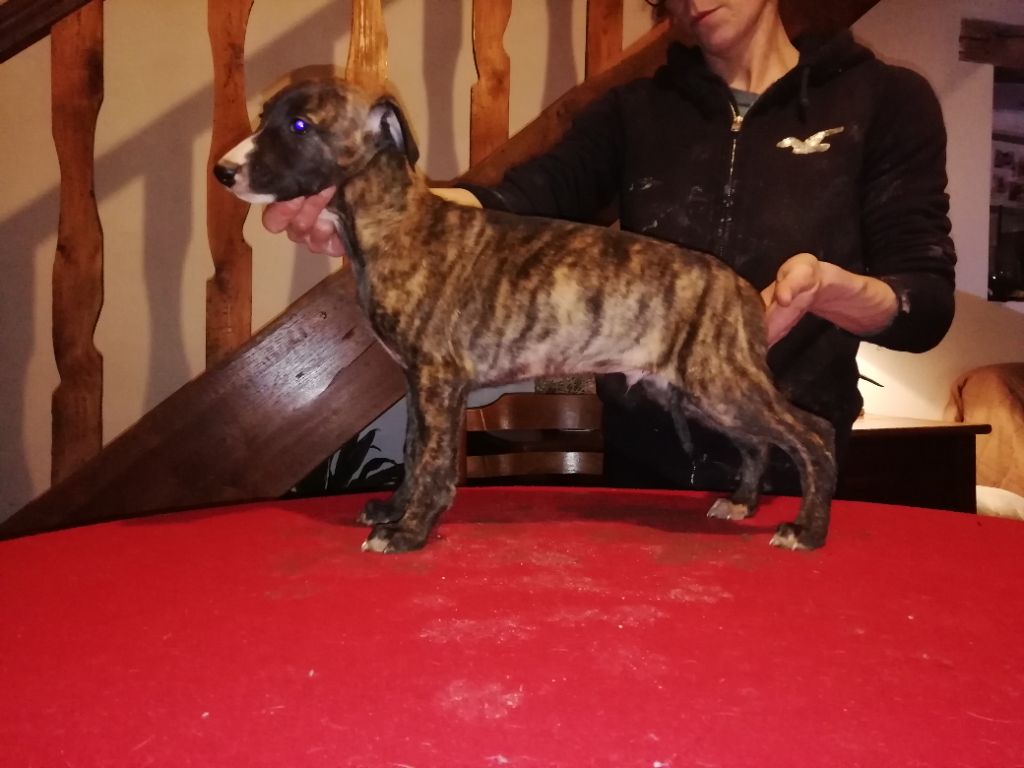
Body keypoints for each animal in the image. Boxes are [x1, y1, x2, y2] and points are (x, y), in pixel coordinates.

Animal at [214, 77, 837, 554]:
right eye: (266, 117)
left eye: (300, 126)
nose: (222, 172)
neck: (395, 221)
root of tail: (738, 286)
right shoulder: (420, 385)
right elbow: (414, 453)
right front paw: (393, 511)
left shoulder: (439, 382)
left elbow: (433, 463)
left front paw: (410, 532)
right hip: (697, 391)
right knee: (758, 443)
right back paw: (741, 503)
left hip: (719, 382)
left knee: (813, 435)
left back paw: (806, 530)